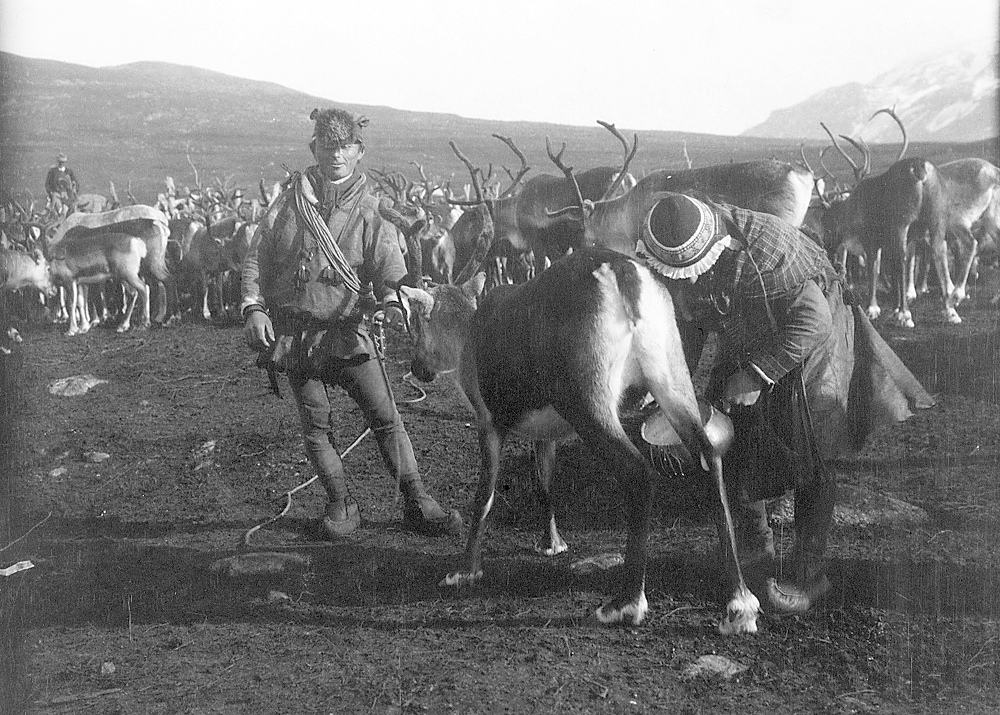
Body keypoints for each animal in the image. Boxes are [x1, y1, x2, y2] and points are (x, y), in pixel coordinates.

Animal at [394, 210, 761, 634]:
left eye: (416, 322)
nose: (418, 369)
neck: (467, 334)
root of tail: (623, 273)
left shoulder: (488, 422)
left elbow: (484, 496)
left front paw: (464, 571)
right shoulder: (545, 433)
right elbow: (545, 485)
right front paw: (551, 543)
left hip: (587, 398)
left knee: (639, 472)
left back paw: (625, 604)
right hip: (671, 372)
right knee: (709, 456)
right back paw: (739, 603)